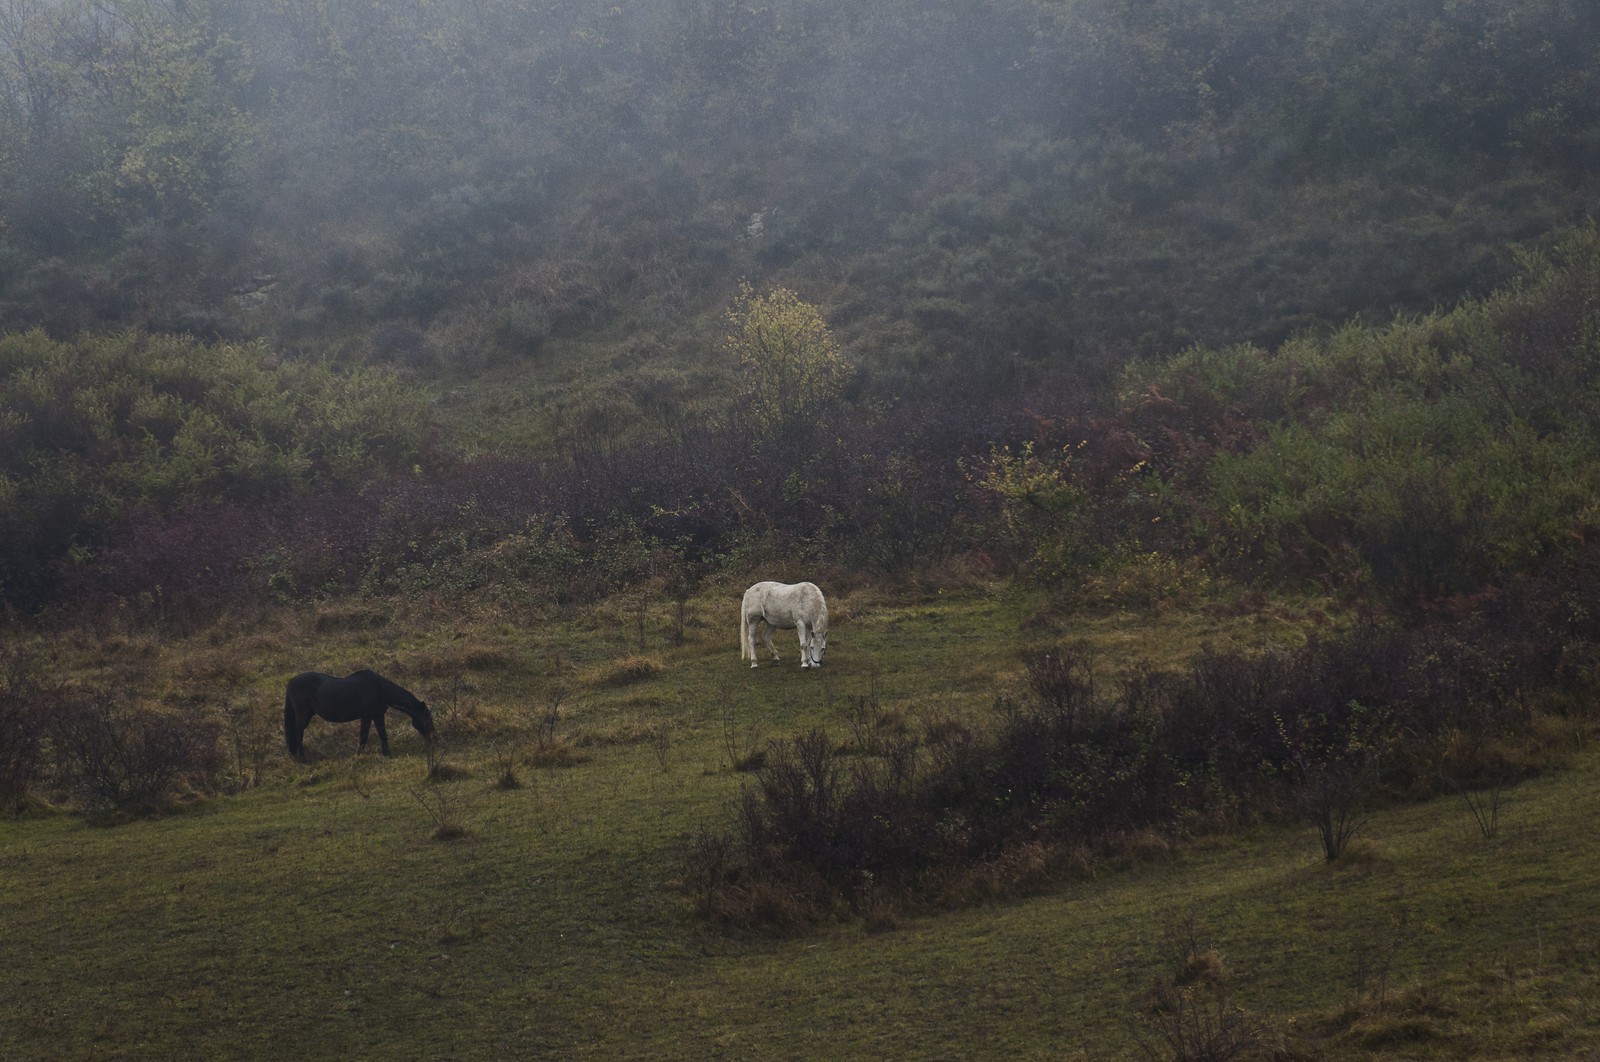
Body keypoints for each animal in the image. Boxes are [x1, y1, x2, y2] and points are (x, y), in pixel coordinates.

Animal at [283, 670, 434, 761]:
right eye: (427, 717)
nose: (432, 735)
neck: (380, 689)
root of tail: (291, 681)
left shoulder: (378, 715)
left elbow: (383, 735)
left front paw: (387, 754)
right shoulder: (366, 716)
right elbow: (363, 736)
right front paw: (359, 755)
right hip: (303, 715)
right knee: (298, 733)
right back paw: (303, 758)